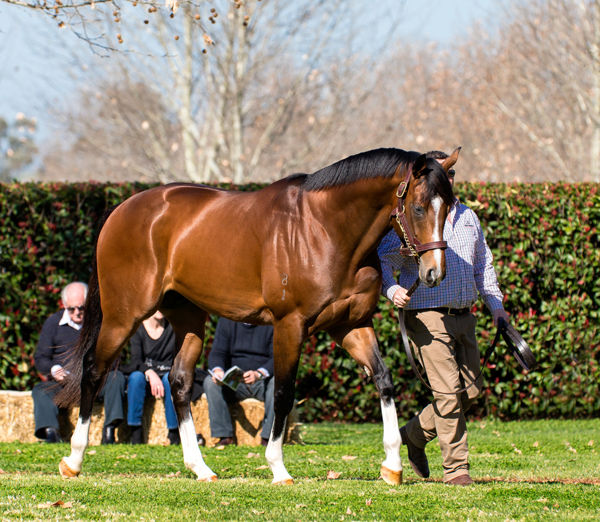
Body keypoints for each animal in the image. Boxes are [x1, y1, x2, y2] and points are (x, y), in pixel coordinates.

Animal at [57, 147, 458, 485]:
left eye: (450, 206)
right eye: (419, 207)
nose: (434, 273)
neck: (325, 230)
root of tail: (122, 210)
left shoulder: (351, 324)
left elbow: (383, 379)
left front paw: (392, 465)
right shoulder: (290, 325)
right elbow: (282, 392)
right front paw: (278, 468)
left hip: (188, 318)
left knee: (180, 381)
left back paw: (200, 468)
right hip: (123, 315)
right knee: (94, 371)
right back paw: (73, 460)